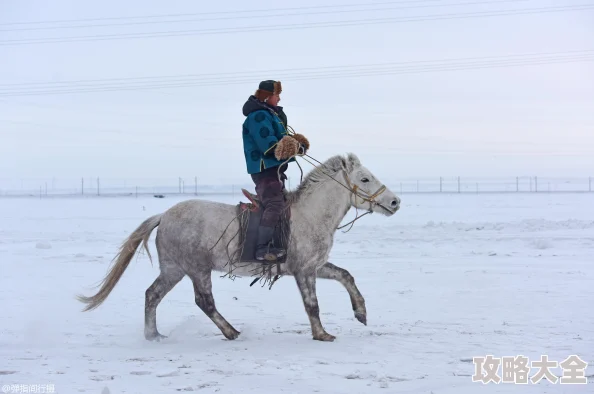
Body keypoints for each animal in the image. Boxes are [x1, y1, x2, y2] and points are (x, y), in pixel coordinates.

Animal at [76, 154, 400, 342]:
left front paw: (361, 313)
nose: (395, 202)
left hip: (174, 270)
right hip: (196, 269)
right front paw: (322, 334)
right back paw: (231, 332)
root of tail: (164, 215)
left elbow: (346, 276)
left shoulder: (315, 266)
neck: (310, 214)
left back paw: (154, 335)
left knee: (152, 294)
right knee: (204, 302)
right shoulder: (304, 270)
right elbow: (312, 304)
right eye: (364, 178)